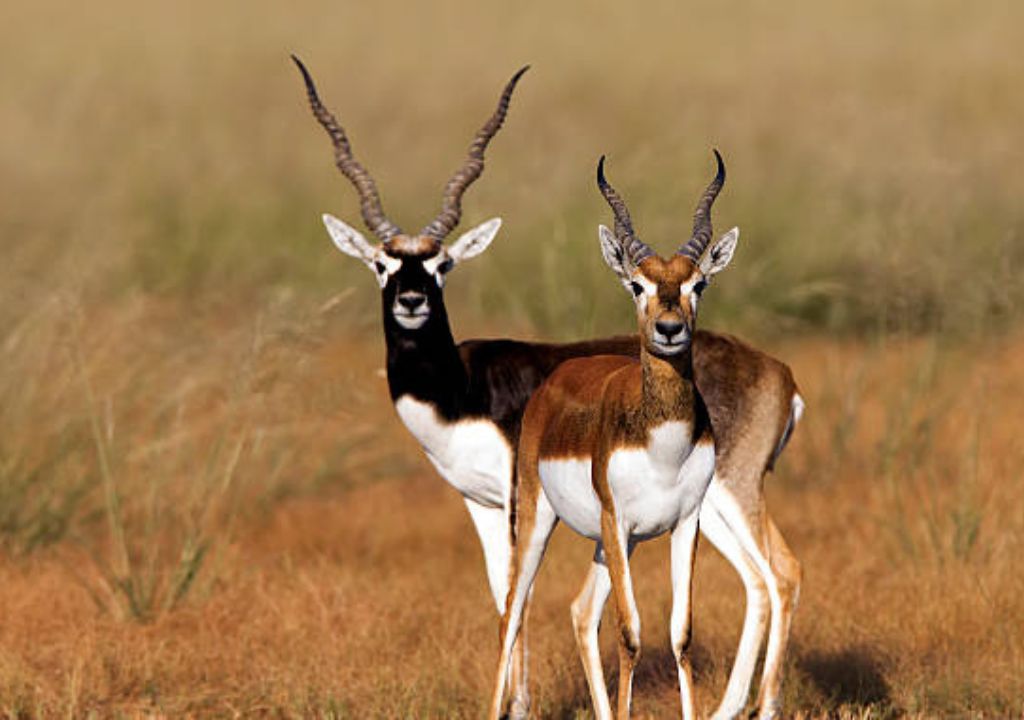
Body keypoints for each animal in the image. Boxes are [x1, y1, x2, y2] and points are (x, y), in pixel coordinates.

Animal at [293, 56, 802, 720]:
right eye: (383, 264)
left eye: (441, 265)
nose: (411, 301)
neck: (460, 389)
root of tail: (779, 372)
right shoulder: (482, 504)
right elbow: (504, 597)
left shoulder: (519, 499)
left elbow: (523, 599)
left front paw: (521, 707)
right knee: (759, 580)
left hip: (728, 493)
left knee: (776, 575)